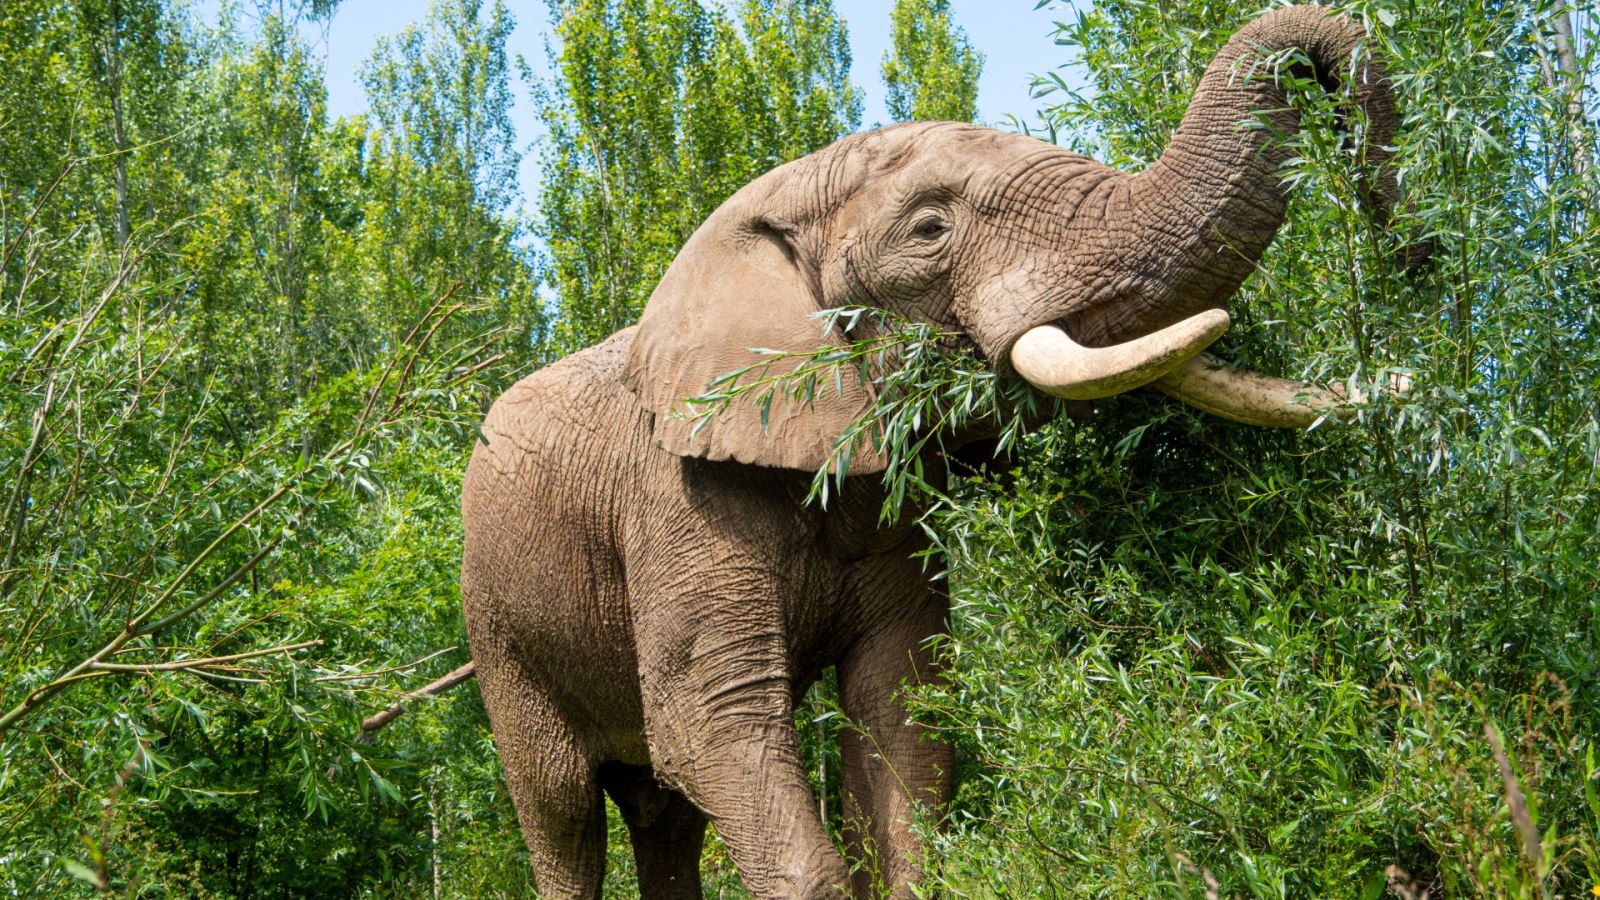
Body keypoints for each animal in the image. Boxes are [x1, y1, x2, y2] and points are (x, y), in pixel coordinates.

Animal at [457, 5, 1420, 890]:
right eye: (929, 231)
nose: (1387, 209)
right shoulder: (677, 498)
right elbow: (711, 723)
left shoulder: (891, 508)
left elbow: (903, 710)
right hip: (498, 625)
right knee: (564, 811)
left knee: (662, 816)